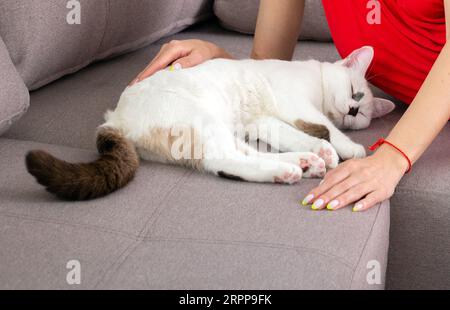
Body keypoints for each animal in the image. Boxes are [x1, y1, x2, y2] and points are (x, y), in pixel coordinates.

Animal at [26, 46, 396, 201]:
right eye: (355, 93)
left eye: (363, 112)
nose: (353, 111)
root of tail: (113, 118)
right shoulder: (296, 104)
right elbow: (324, 128)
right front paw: (347, 147)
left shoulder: (263, 121)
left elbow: (301, 135)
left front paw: (325, 150)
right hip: (203, 119)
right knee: (224, 160)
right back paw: (290, 169)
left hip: (223, 126)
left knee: (242, 156)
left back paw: (303, 163)